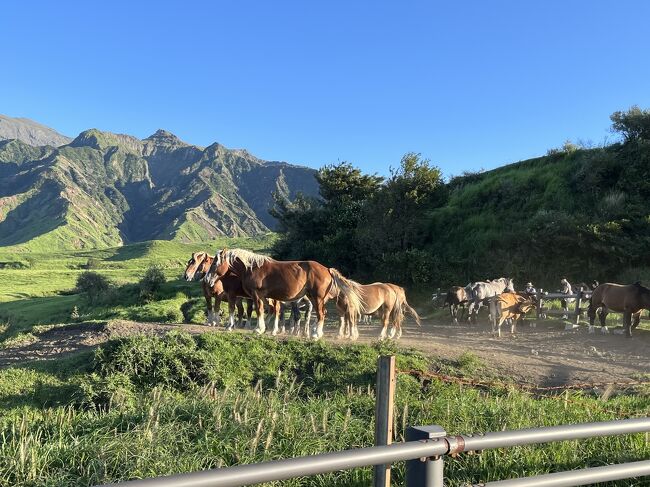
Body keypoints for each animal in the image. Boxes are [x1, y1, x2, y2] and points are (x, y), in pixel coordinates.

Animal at [205, 248, 362, 340]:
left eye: (215, 263)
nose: (207, 279)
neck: (252, 268)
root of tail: (327, 270)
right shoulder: (263, 297)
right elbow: (268, 311)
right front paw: (265, 329)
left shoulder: (255, 295)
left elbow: (258, 310)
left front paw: (258, 329)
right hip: (313, 298)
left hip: (317, 298)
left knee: (321, 314)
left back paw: (316, 335)